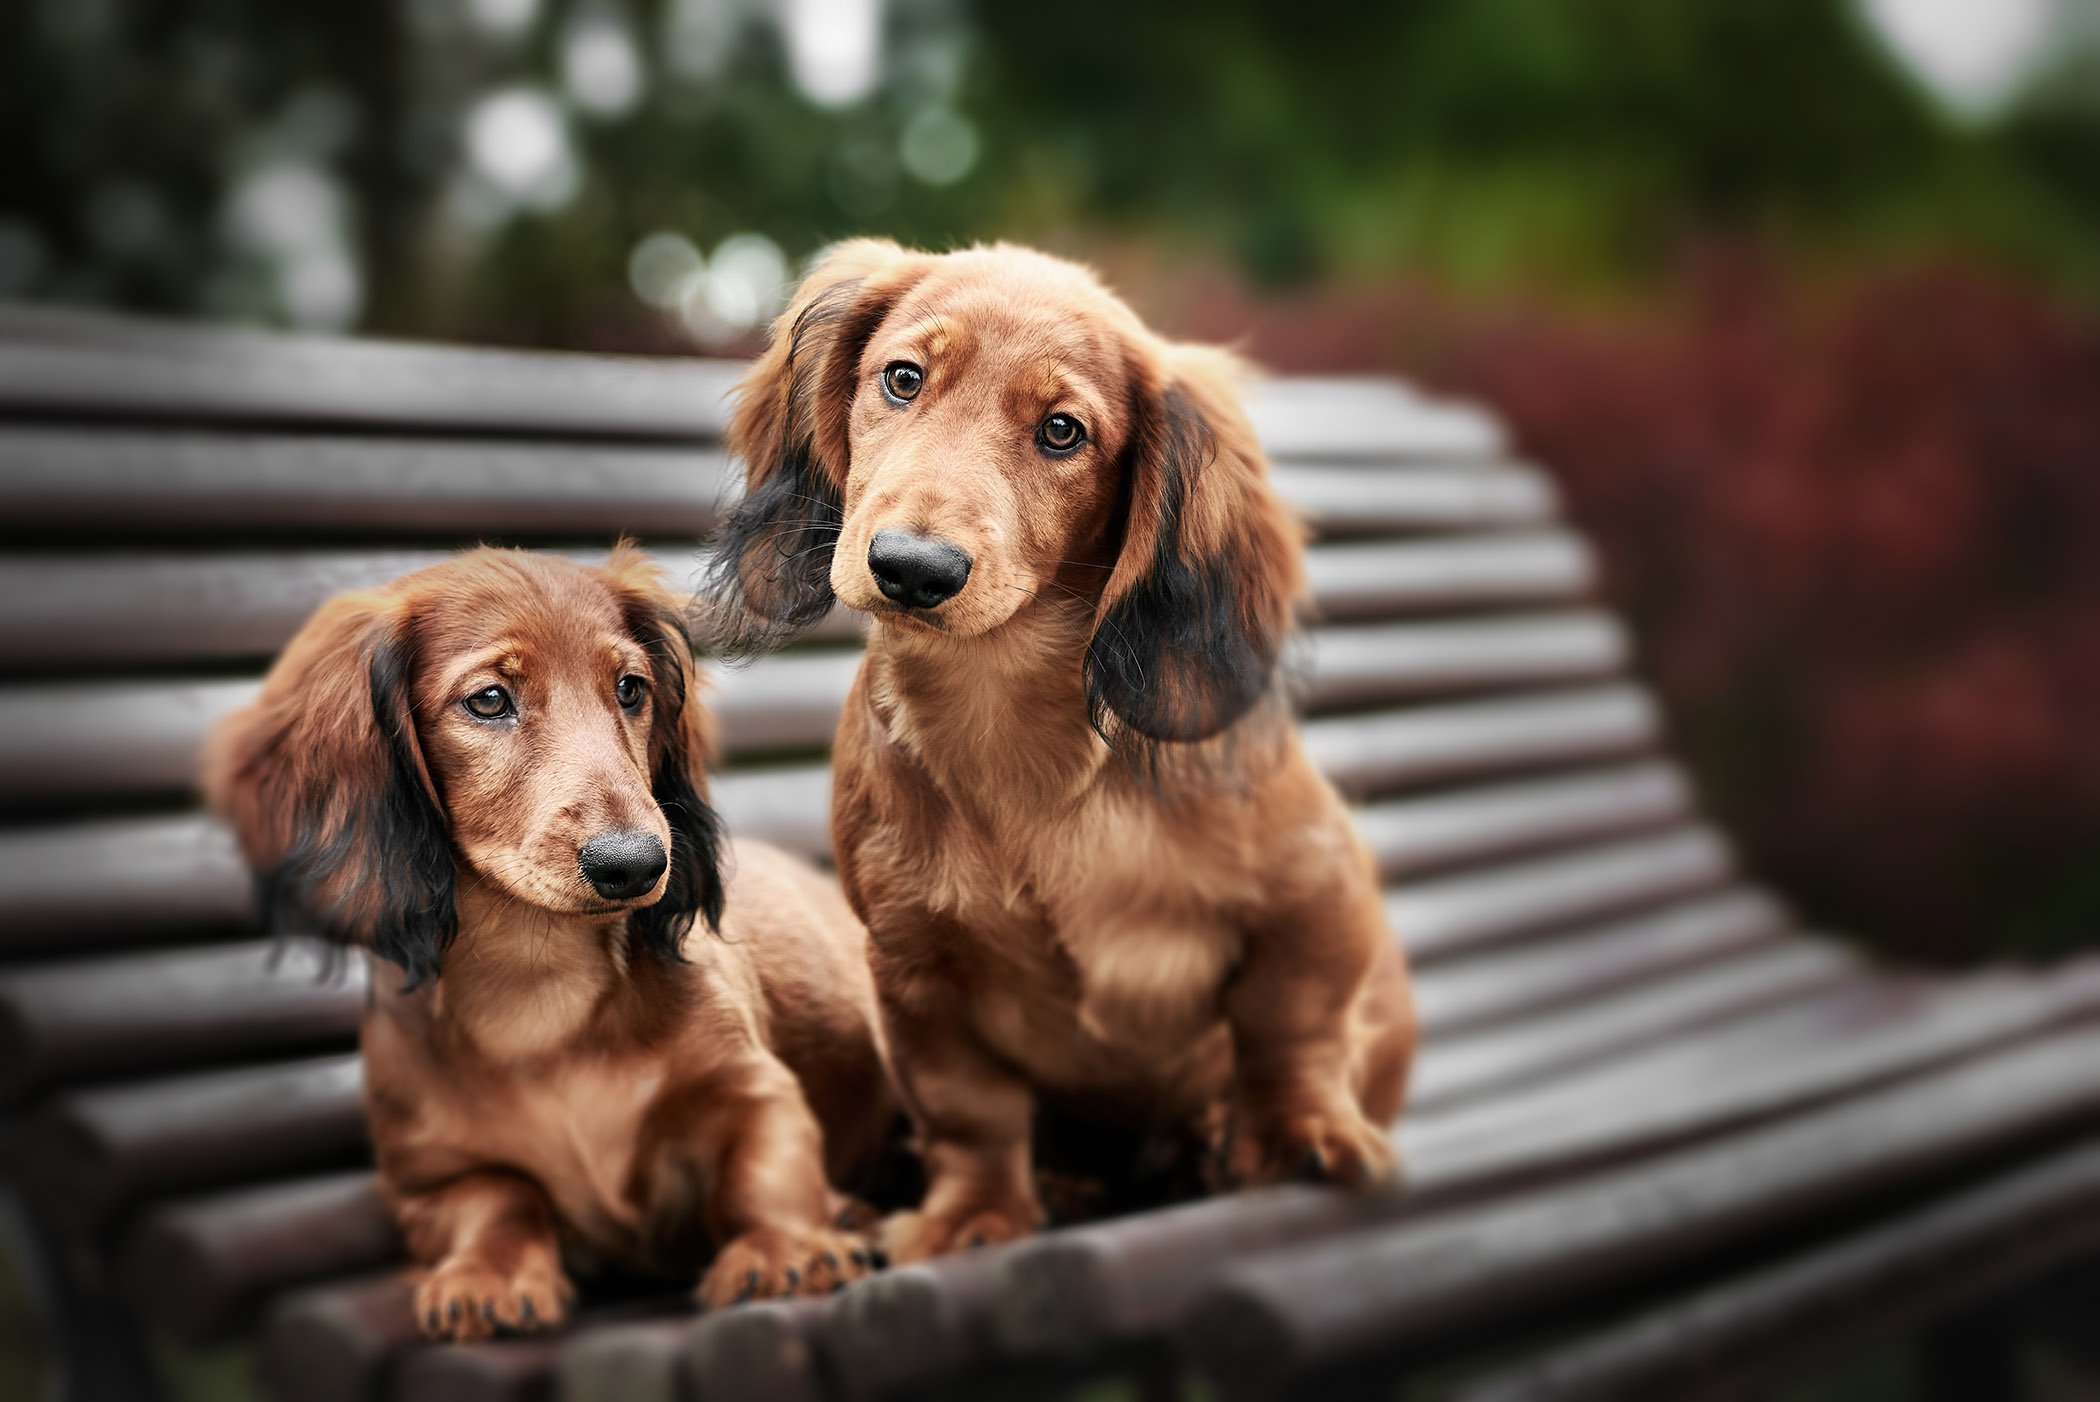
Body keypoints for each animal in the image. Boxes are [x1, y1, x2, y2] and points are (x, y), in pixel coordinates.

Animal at [197, 541, 886, 1334]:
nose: (636, 863)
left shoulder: (753, 1086)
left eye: (630, 689)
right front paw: (488, 1275)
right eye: (490, 700)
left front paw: (785, 1247)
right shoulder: (429, 1176)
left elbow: (763, 1168)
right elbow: (498, 1198)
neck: (539, 988)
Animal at [701, 241, 1411, 1259]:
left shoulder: (1315, 890)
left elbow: (1293, 1025)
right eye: (903, 379)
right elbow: (972, 1111)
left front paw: (1297, 1131)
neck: (1013, 733)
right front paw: (974, 1212)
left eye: (1063, 432)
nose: (911, 569)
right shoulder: (915, 976)